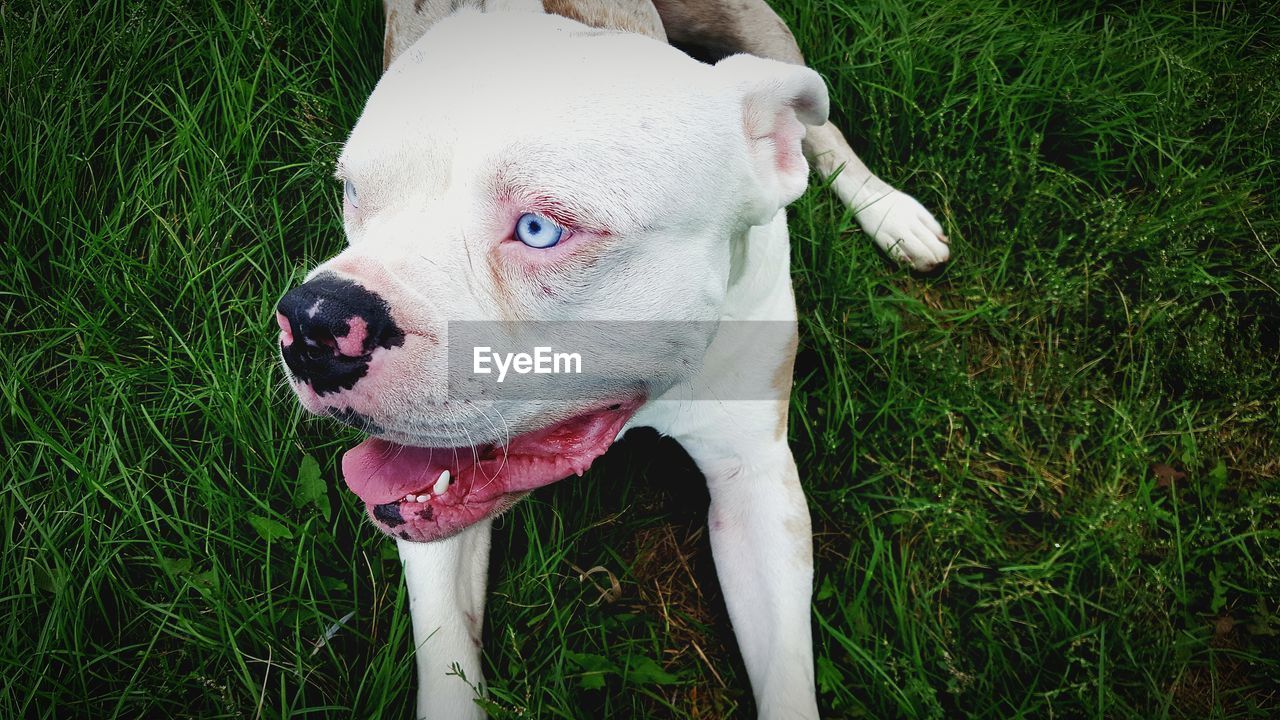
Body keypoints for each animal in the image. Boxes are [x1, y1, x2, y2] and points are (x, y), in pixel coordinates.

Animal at [275, 2, 947, 712]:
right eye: (354, 193)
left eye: (540, 228)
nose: (315, 321)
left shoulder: (755, 476)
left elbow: (789, 680)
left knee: (824, 129)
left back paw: (893, 213)